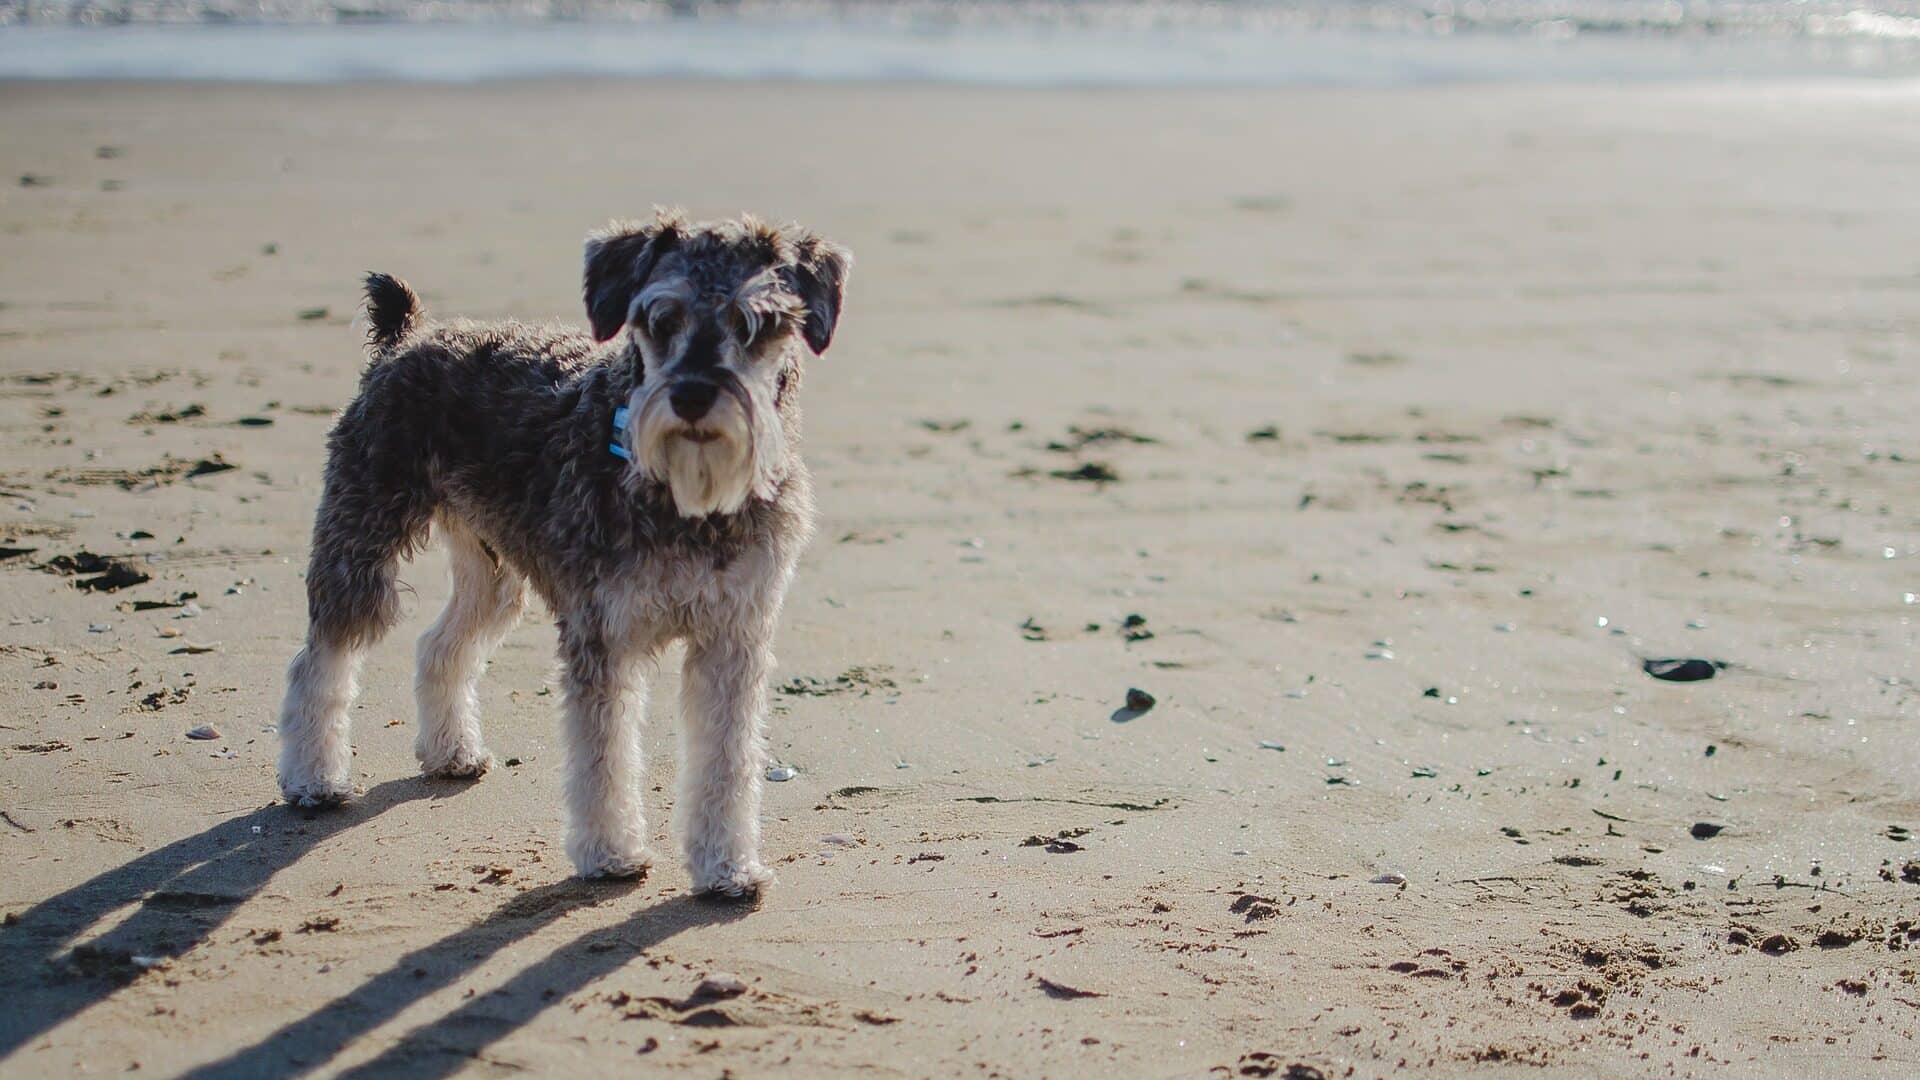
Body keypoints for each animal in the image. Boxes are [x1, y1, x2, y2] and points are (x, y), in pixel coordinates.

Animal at [276, 208, 848, 891]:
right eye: (661, 320)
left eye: (752, 324)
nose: (691, 397)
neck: (688, 498)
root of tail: (405, 339)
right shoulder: (603, 634)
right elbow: (601, 756)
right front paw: (609, 855)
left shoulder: (732, 637)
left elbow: (727, 761)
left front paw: (727, 867)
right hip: (360, 542)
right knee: (321, 658)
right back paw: (313, 781)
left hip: (492, 574)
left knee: (440, 646)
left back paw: (451, 753)